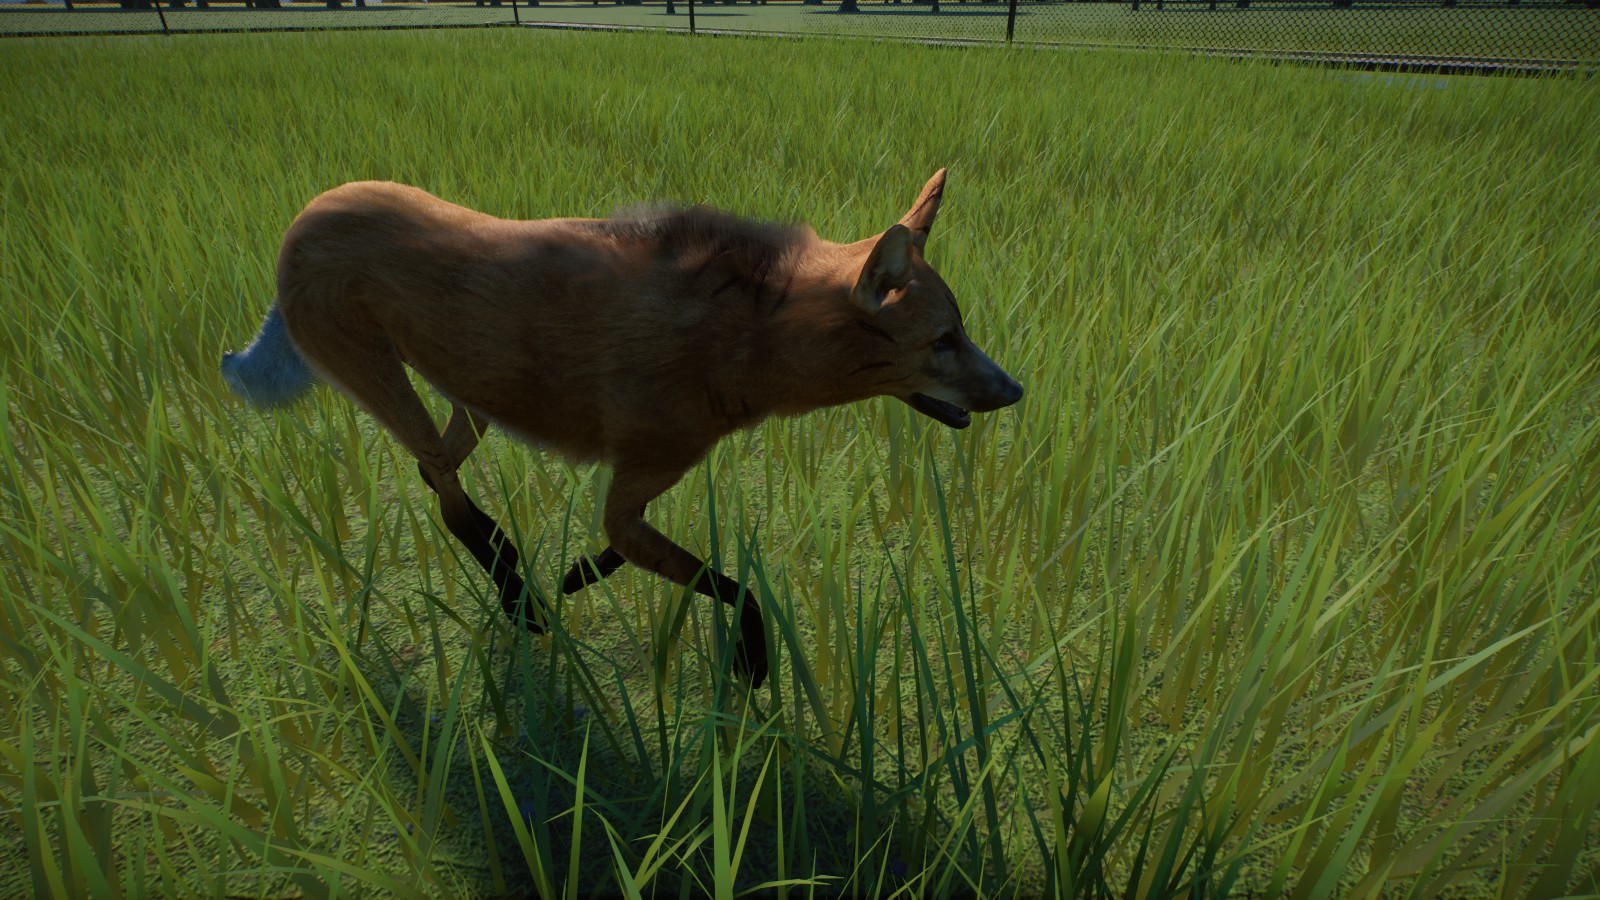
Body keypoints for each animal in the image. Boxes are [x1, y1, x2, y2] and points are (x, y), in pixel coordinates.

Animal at [221, 169, 1022, 688]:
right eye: (944, 341)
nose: (1016, 391)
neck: (745, 342)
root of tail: (308, 212)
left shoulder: (639, 483)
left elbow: (625, 547)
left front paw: (575, 574)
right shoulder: (635, 480)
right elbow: (733, 588)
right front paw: (751, 665)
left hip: (472, 397)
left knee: (436, 471)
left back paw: (517, 576)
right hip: (394, 388)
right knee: (444, 492)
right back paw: (518, 595)